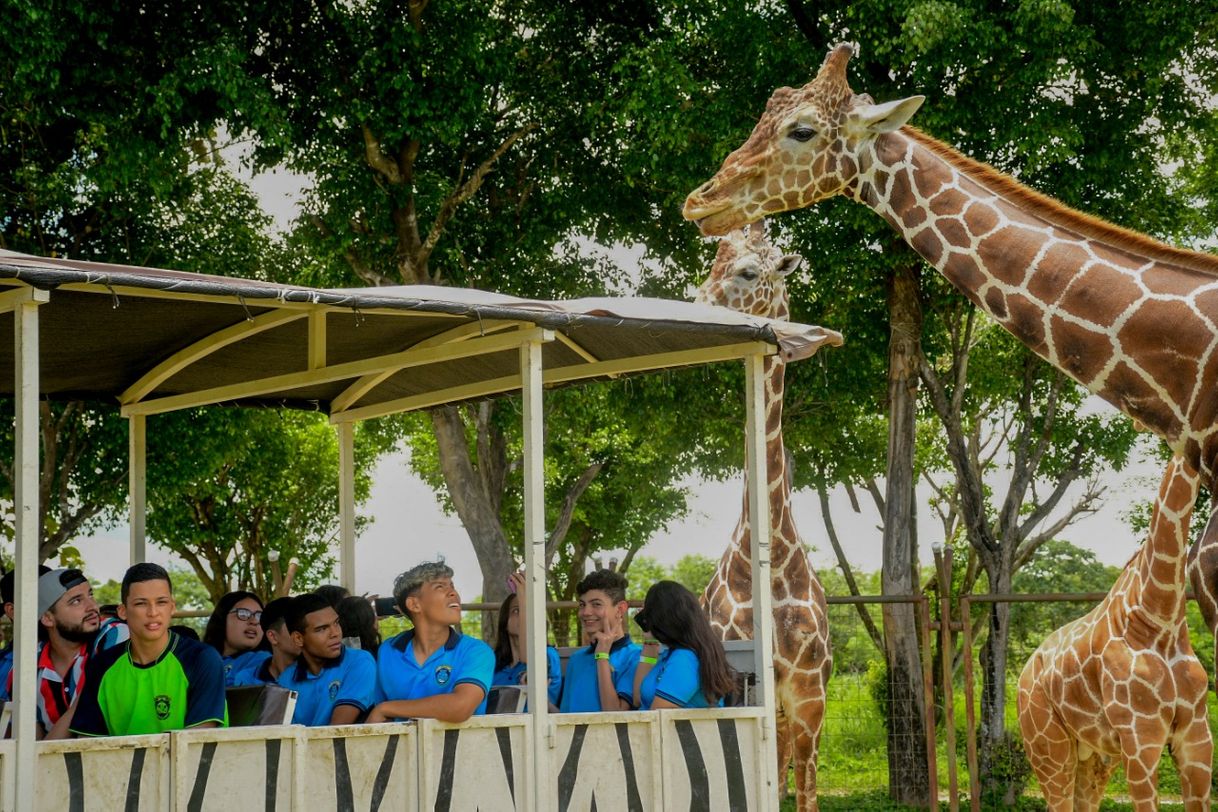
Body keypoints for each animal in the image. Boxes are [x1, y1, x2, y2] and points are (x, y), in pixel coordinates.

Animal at [1018, 455, 1208, 808]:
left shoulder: (1196, 734)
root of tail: (1025, 671)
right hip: (1048, 749)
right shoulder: (1141, 737)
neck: (1160, 618)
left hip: (1095, 756)